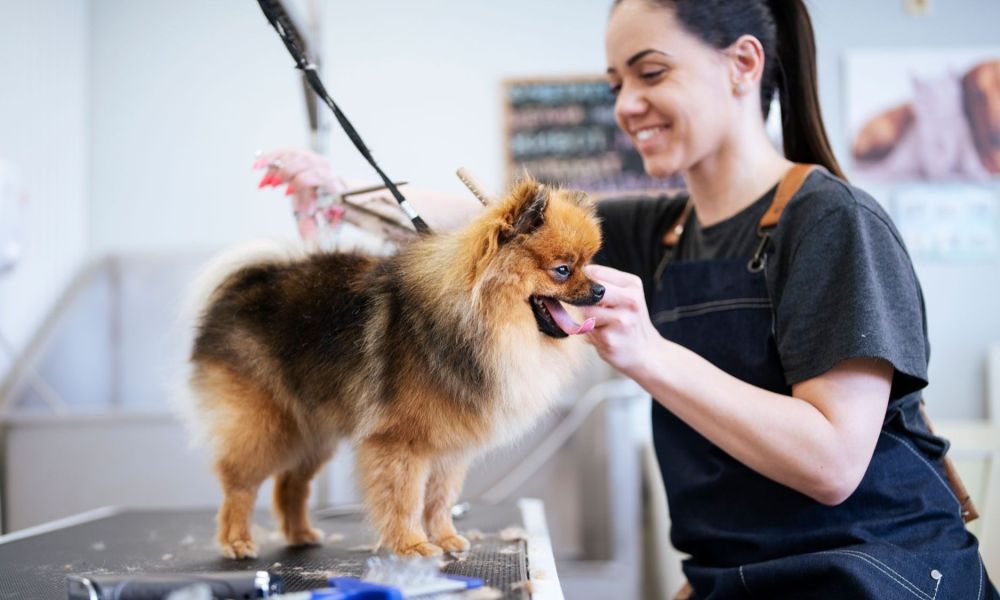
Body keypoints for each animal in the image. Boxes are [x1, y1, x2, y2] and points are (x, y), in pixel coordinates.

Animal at [191, 177, 604, 556]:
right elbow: (404, 497)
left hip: (313, 429)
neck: (480, 322)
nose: (600, 290)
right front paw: (411, 544)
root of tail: (249, 282)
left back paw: (300, 534)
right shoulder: (399, 440)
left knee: (291, 483)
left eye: (589, 264)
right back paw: (237, 540)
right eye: (563, 269)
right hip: (264, 425)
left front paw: (446, 538)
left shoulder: (450, 447)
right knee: (239, 482)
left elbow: (440, 498)